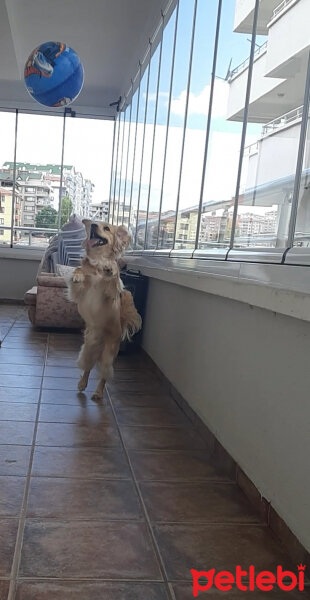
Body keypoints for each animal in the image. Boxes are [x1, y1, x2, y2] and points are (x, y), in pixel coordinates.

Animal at [68, 219, 142, 398]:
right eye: (94, 224)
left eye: (106, 228)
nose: (93, 225)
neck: (97, 262)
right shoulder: (80, 292)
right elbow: (79, 272)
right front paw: (78, 275)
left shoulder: (111, 293)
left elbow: (114, 278)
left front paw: (110, 269)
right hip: (87, 350)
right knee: (88, 368)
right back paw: (82, 383)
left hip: (109, 355)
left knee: (104, 375)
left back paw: (99, 392)